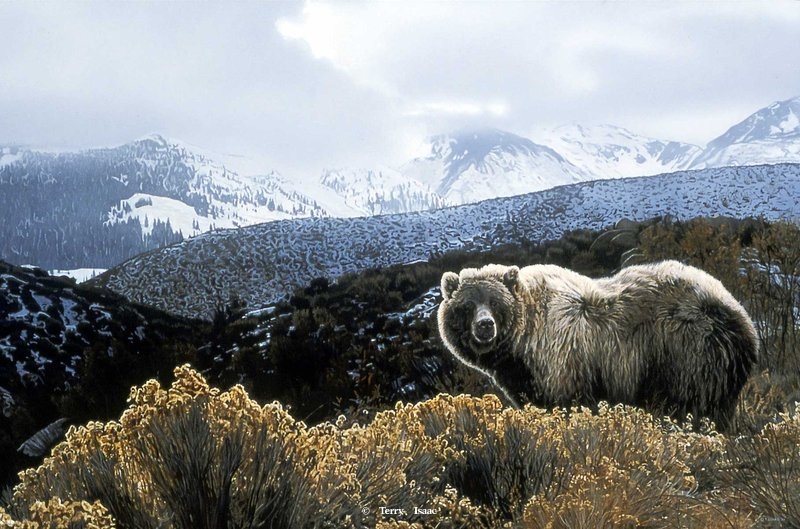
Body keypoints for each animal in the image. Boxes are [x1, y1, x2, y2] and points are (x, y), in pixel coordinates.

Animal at [437, 261, 758, 429]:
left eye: (495, 302)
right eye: (467, 305)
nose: (485, 325)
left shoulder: (563, 358)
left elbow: (568, 403)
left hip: (686, 351)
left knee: (693, 402)